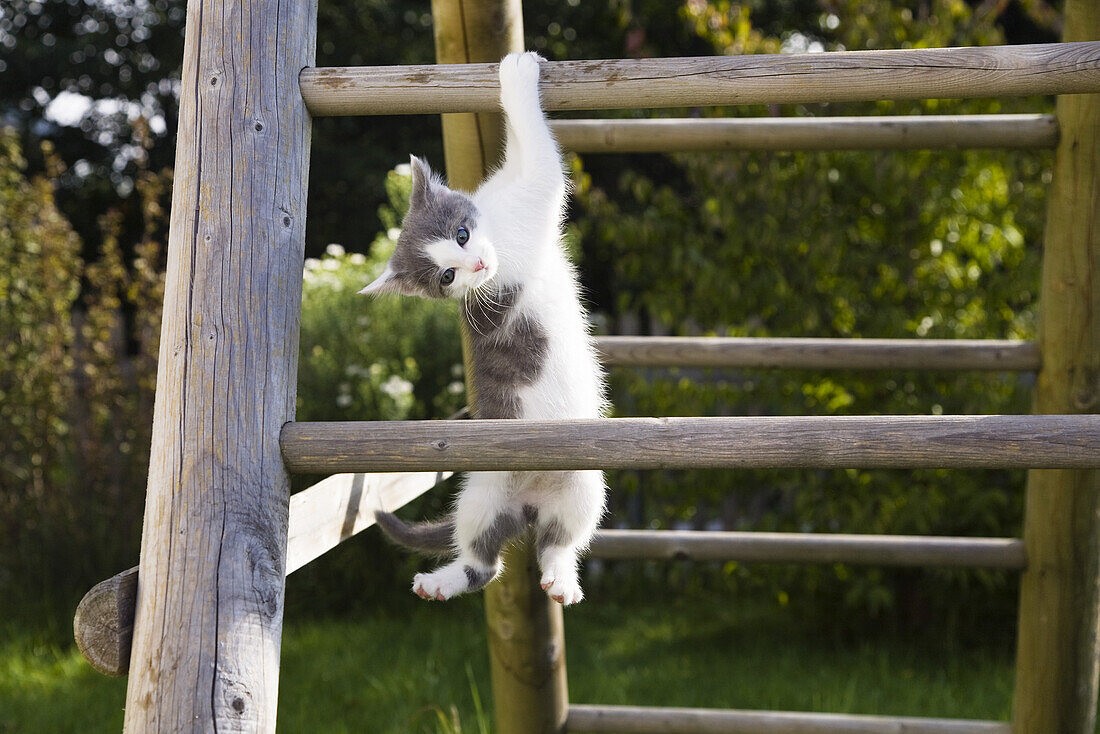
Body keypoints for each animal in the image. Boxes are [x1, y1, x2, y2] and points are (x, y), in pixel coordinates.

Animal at [358, 50, 607, 603]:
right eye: (446, 277)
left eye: (461, 233)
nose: (475, 267)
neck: (496, 224)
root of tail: (529, 502)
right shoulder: (533, 198)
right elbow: (542, 158)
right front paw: (516, 73)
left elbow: (521, 154)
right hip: (484, 491)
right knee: (484, 561)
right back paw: (445, 580)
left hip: (581, 482)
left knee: (559, 539)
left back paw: (559, 574)